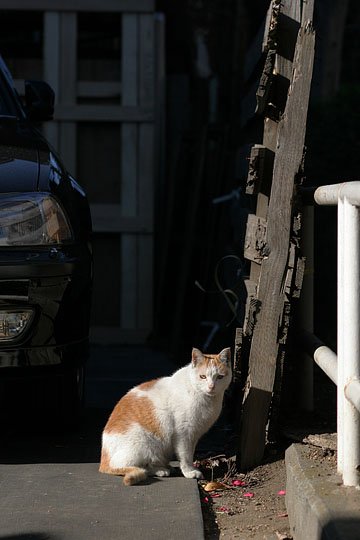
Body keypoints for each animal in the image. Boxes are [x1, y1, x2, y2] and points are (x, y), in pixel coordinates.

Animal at [100, 348, 232, 488]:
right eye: (202, 377)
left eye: (220, 377)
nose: (211, 387)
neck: (207, 399)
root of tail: (103, 462)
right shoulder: (183, 434)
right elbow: (185, 455)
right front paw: (189, 471)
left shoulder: (194, 435)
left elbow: (190, 453)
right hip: (143, 441)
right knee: (137, 467)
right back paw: (161, 470)